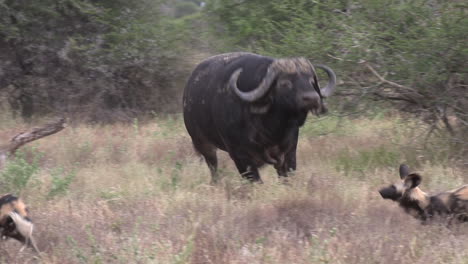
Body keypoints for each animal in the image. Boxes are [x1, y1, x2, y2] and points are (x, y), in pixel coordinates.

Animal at [183, 51, 336, 184]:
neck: (271, 129)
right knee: (213, 167)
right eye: (285, 83)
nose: (312, 98)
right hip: (202, 144)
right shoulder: (241, 157)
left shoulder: (289, 153)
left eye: (311, 81)